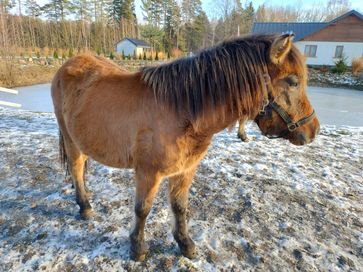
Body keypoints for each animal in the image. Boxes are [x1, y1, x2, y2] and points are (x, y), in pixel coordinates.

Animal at [52, 34, 322, 262]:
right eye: (293, 82)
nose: (313, 130)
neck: (182, 112)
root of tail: (69, 64)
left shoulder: (185, 170)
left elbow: (179, 207)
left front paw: (185, 243)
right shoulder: (148, 173)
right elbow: (142, 210)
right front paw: (137, 248)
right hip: (71, 140)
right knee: (76, 169)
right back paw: (85, 207)